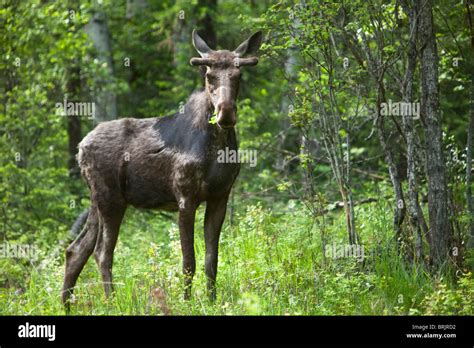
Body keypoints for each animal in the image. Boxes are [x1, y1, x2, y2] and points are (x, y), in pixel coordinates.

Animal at [61, 29, 262, 308]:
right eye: (209, 76)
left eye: (238, 75)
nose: (226, 114)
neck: (218, 145)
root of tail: (80, 148)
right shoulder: (185, 197)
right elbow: (189, 261)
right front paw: (187, 303)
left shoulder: (220, 197)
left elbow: (212, 260)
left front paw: (212, 301)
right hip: (111, 199)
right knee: (101, 252)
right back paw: (112, 303)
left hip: (97, 200)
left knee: (76, 250)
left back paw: (66, 305)